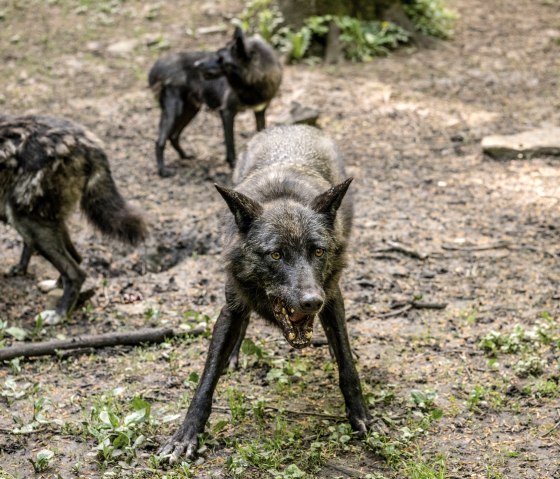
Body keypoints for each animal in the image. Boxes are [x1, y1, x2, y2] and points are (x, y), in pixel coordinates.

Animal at [0, 116, 147, 326]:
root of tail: (85, 142)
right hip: (45, 222)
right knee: (76, 259)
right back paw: (55, 287)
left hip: (28, 222)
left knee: (75, 272)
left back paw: (59, 314)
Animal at [148, 25, 282, 178]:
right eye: (216, 54)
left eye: (220, 58)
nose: (196, 64)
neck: (253, 83)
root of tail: (158, 64)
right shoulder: (227, 112)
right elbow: (230, 144)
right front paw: (233, 166)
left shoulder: (260, 111)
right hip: (175, 111)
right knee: (159, 141)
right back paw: (163, 170)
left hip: (191, 110)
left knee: (174, 136)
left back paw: (185, 156)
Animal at [161, 125, 372, 464]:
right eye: (275, 255)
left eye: (318, 251)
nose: (311, 302)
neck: (282, 196)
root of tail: (292, 126)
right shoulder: (231, 306)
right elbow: (206, 379)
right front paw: (186, 435)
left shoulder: (332, 296)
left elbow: (347, 366)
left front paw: (359, 414)